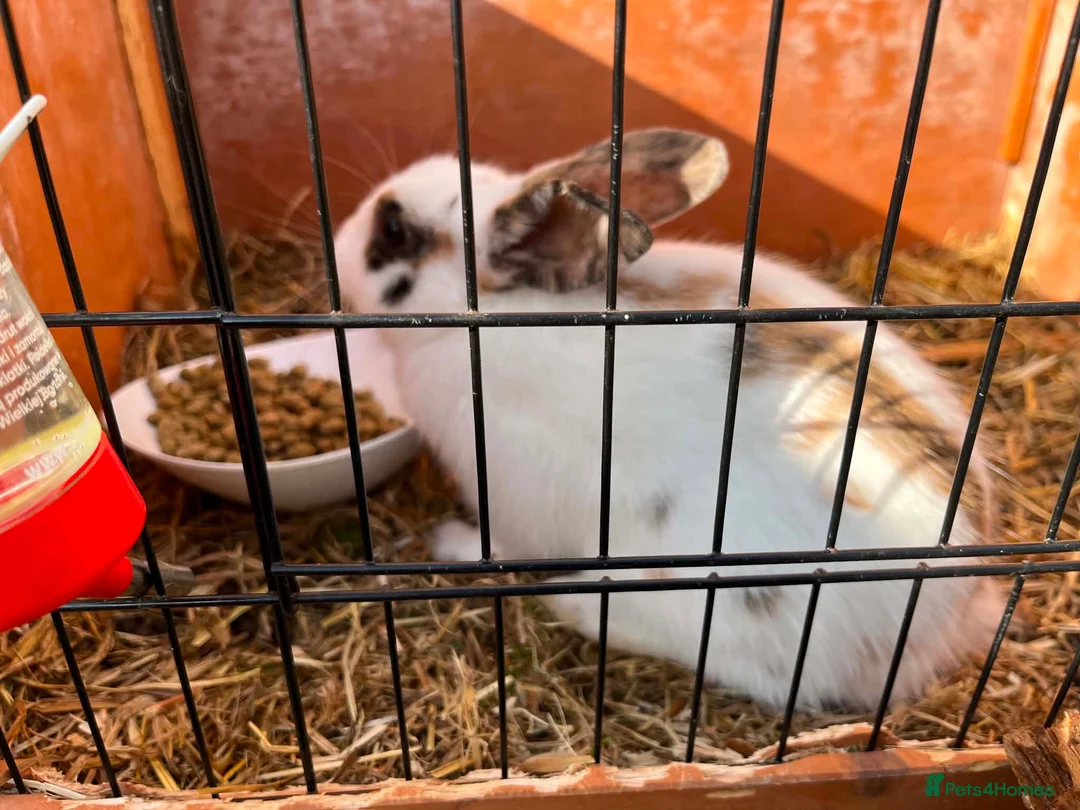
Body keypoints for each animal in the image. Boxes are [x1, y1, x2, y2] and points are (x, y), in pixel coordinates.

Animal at [334, 128, 1006, 711]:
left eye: (392, 229)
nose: (337, 246)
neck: (486, 316)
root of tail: (952, 615)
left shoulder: (509, 495)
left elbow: (499, 547)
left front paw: (448, 541)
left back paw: (581, 606)